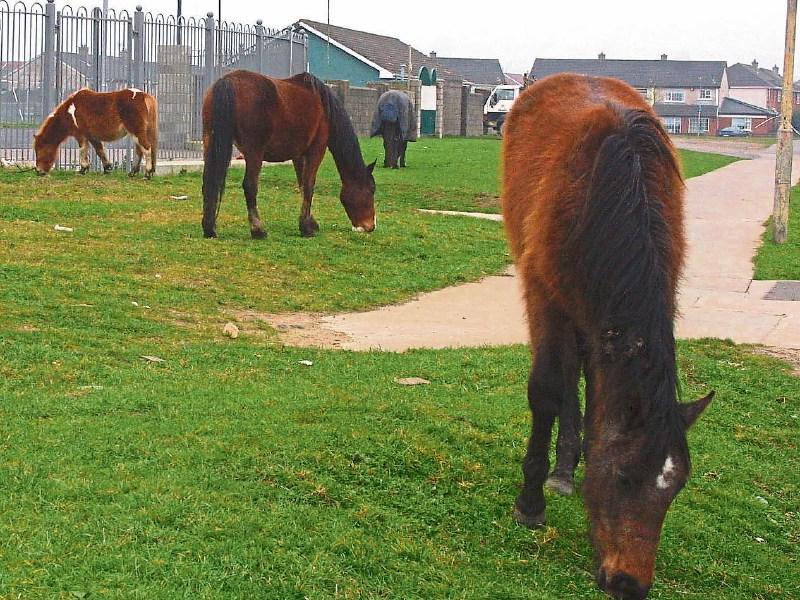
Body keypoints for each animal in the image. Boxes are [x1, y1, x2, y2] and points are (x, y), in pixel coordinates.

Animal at [201, 70, 377, 239]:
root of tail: (228, 81)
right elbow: (309, 186)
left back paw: (209, 228)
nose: (370, 226)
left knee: (209, 182)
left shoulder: (298, 155)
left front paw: (310, 221)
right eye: (371, 190)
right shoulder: (316, 150)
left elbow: (302, 184)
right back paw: (258, 230)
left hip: (210, 143)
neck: (324, 107)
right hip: (254, 153)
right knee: (250, 186)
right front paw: (306, 228)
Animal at [502, 73, 713, 600]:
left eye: (676, 487)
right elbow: (546, 392)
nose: (629, 582)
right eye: (621, 478)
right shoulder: (544, 296)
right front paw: (530, 501)